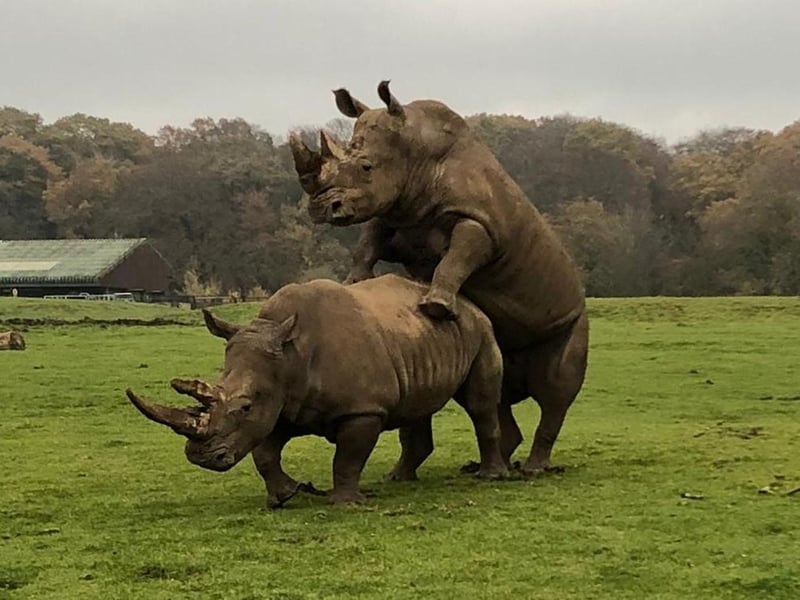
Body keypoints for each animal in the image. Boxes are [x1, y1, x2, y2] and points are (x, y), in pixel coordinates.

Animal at [125, 274, 508, 506]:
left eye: (244, 406)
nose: (201, 458)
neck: (289, 356)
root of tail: (469, 304)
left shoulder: (362, 409)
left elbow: (348, 457)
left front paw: (346, 504)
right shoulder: (280, 406)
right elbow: (265, 453)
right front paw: (285, 497)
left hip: (480, 330)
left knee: (480, 405)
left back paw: (491, 477)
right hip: (420, 337)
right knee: (417, 407)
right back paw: (397, 479)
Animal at [290, 81, 589, 477]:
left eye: (366, 166)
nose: (323, 209)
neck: (416, 150)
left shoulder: (478, 222)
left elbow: (457, 257)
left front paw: (435, 306)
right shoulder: (395, 212)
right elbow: (367, 244)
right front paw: (353, 284)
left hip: (574, 316)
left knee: (556, 390)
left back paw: (532, 469)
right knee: (498, 391)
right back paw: (483, 468)